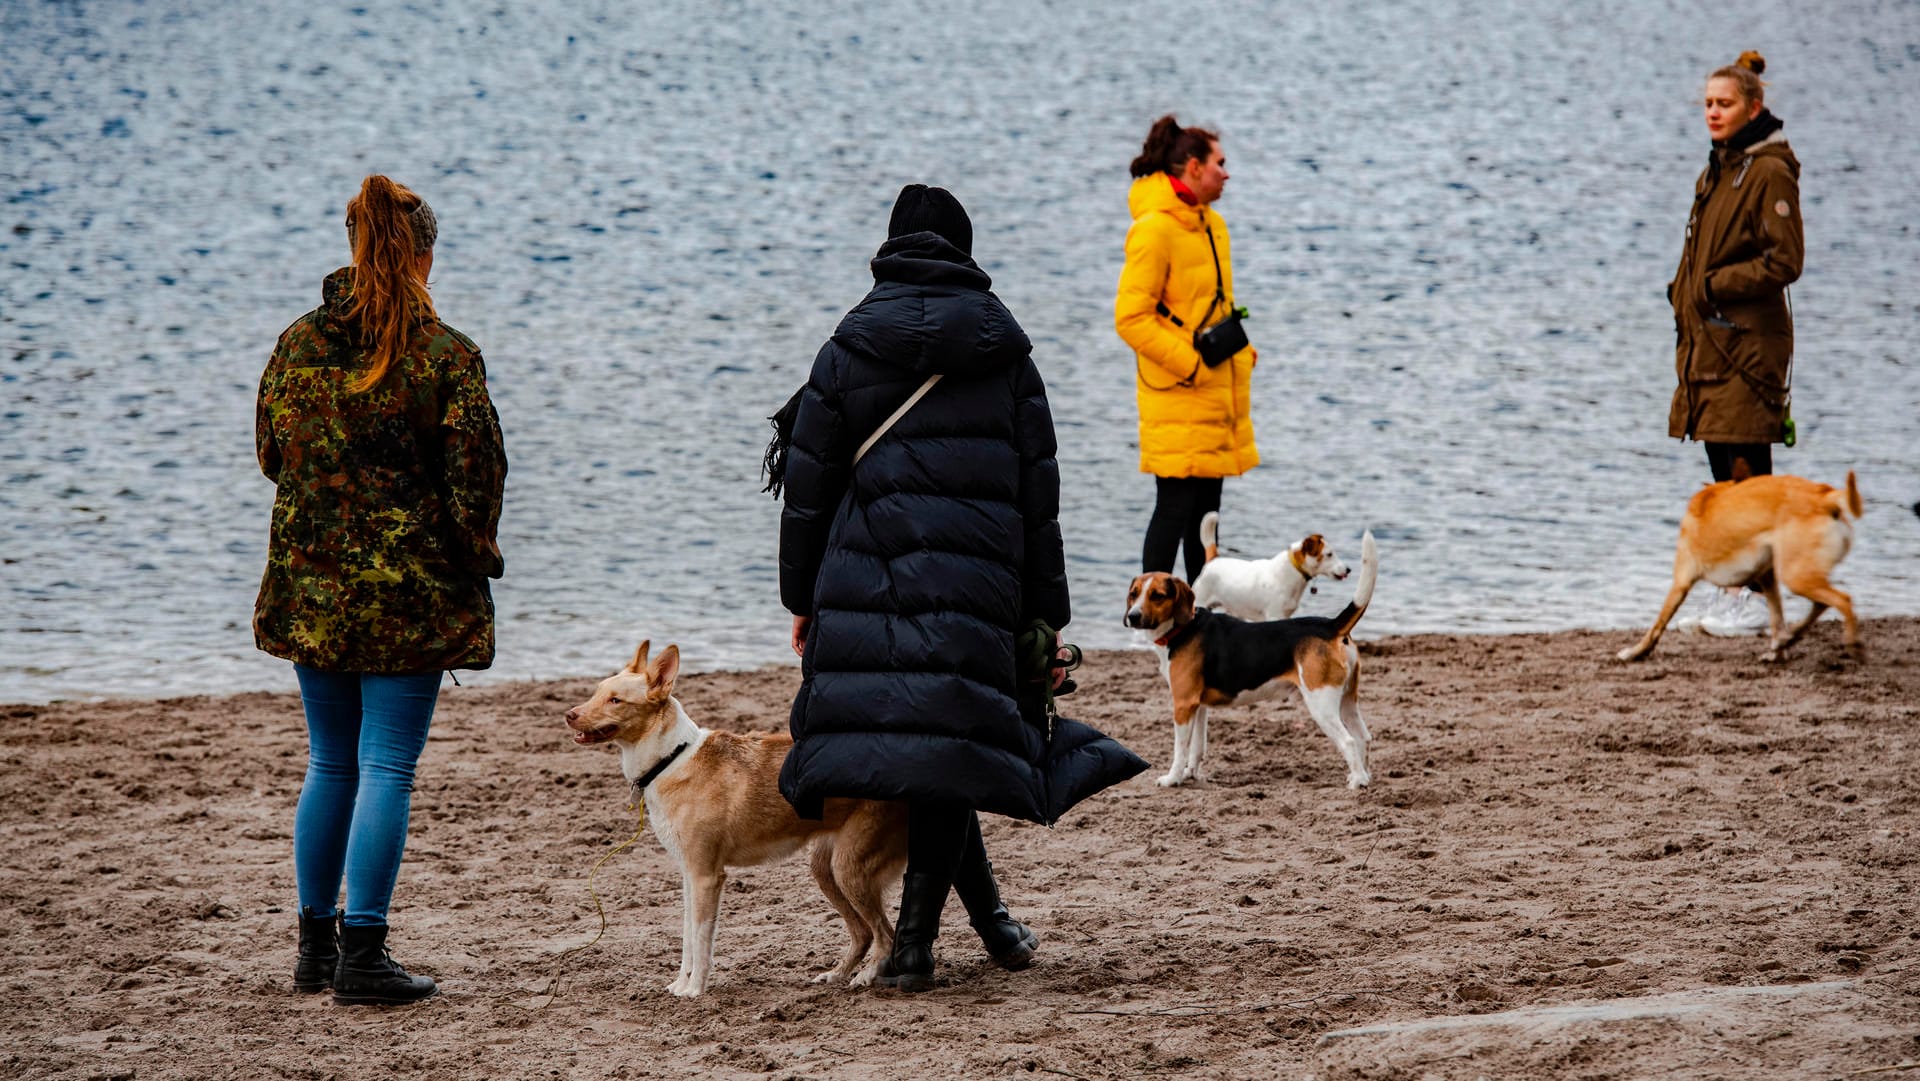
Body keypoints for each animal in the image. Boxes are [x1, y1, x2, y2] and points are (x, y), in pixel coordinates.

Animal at [560, 641, 906, 998]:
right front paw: (680, 984)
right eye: (597, 692)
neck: (671, 759)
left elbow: (701, 940)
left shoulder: (707, 876)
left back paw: (866, 977)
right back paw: (837, 975)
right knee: (864, 932)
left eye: (616, 700)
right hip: (826, 870)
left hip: (849, 868)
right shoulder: (689, 875)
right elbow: (687, 937)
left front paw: (694, 990)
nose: (569, 715)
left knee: (885, 933)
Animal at [1121, 529, 1382, 787]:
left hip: (1321, 703)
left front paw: (1173, 778)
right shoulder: (1198, 705)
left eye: (1157, 596)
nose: (1132, 617)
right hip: (1347, 699)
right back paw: (1363, 776)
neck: (1183, 628)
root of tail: (1331, 626)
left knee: (1348, 741)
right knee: (1363, 737)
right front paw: (1190, 774)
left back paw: (1357, 782)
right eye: (1134, 594)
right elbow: (1197, 747)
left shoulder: (1183, 704)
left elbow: (1180, 749)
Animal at [1182, 510, 1351, 622]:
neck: (1290, 573)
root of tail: (1213, 560)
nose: (1348, 570)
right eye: (1329, 554)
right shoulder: (1274, 616)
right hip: (1200, 602)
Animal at [1612, 472, 1866, 664]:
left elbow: (1657, 625)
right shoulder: (1767, 578)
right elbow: (1776, 618)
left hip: (1796, 577)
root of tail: (1825, 498)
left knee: (1843, 600)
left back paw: (1853, 644)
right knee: (1821, 604)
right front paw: (1777, 653)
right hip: (1799, 575)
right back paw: (1790, 638)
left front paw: (1636, 652)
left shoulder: (1681, 582)